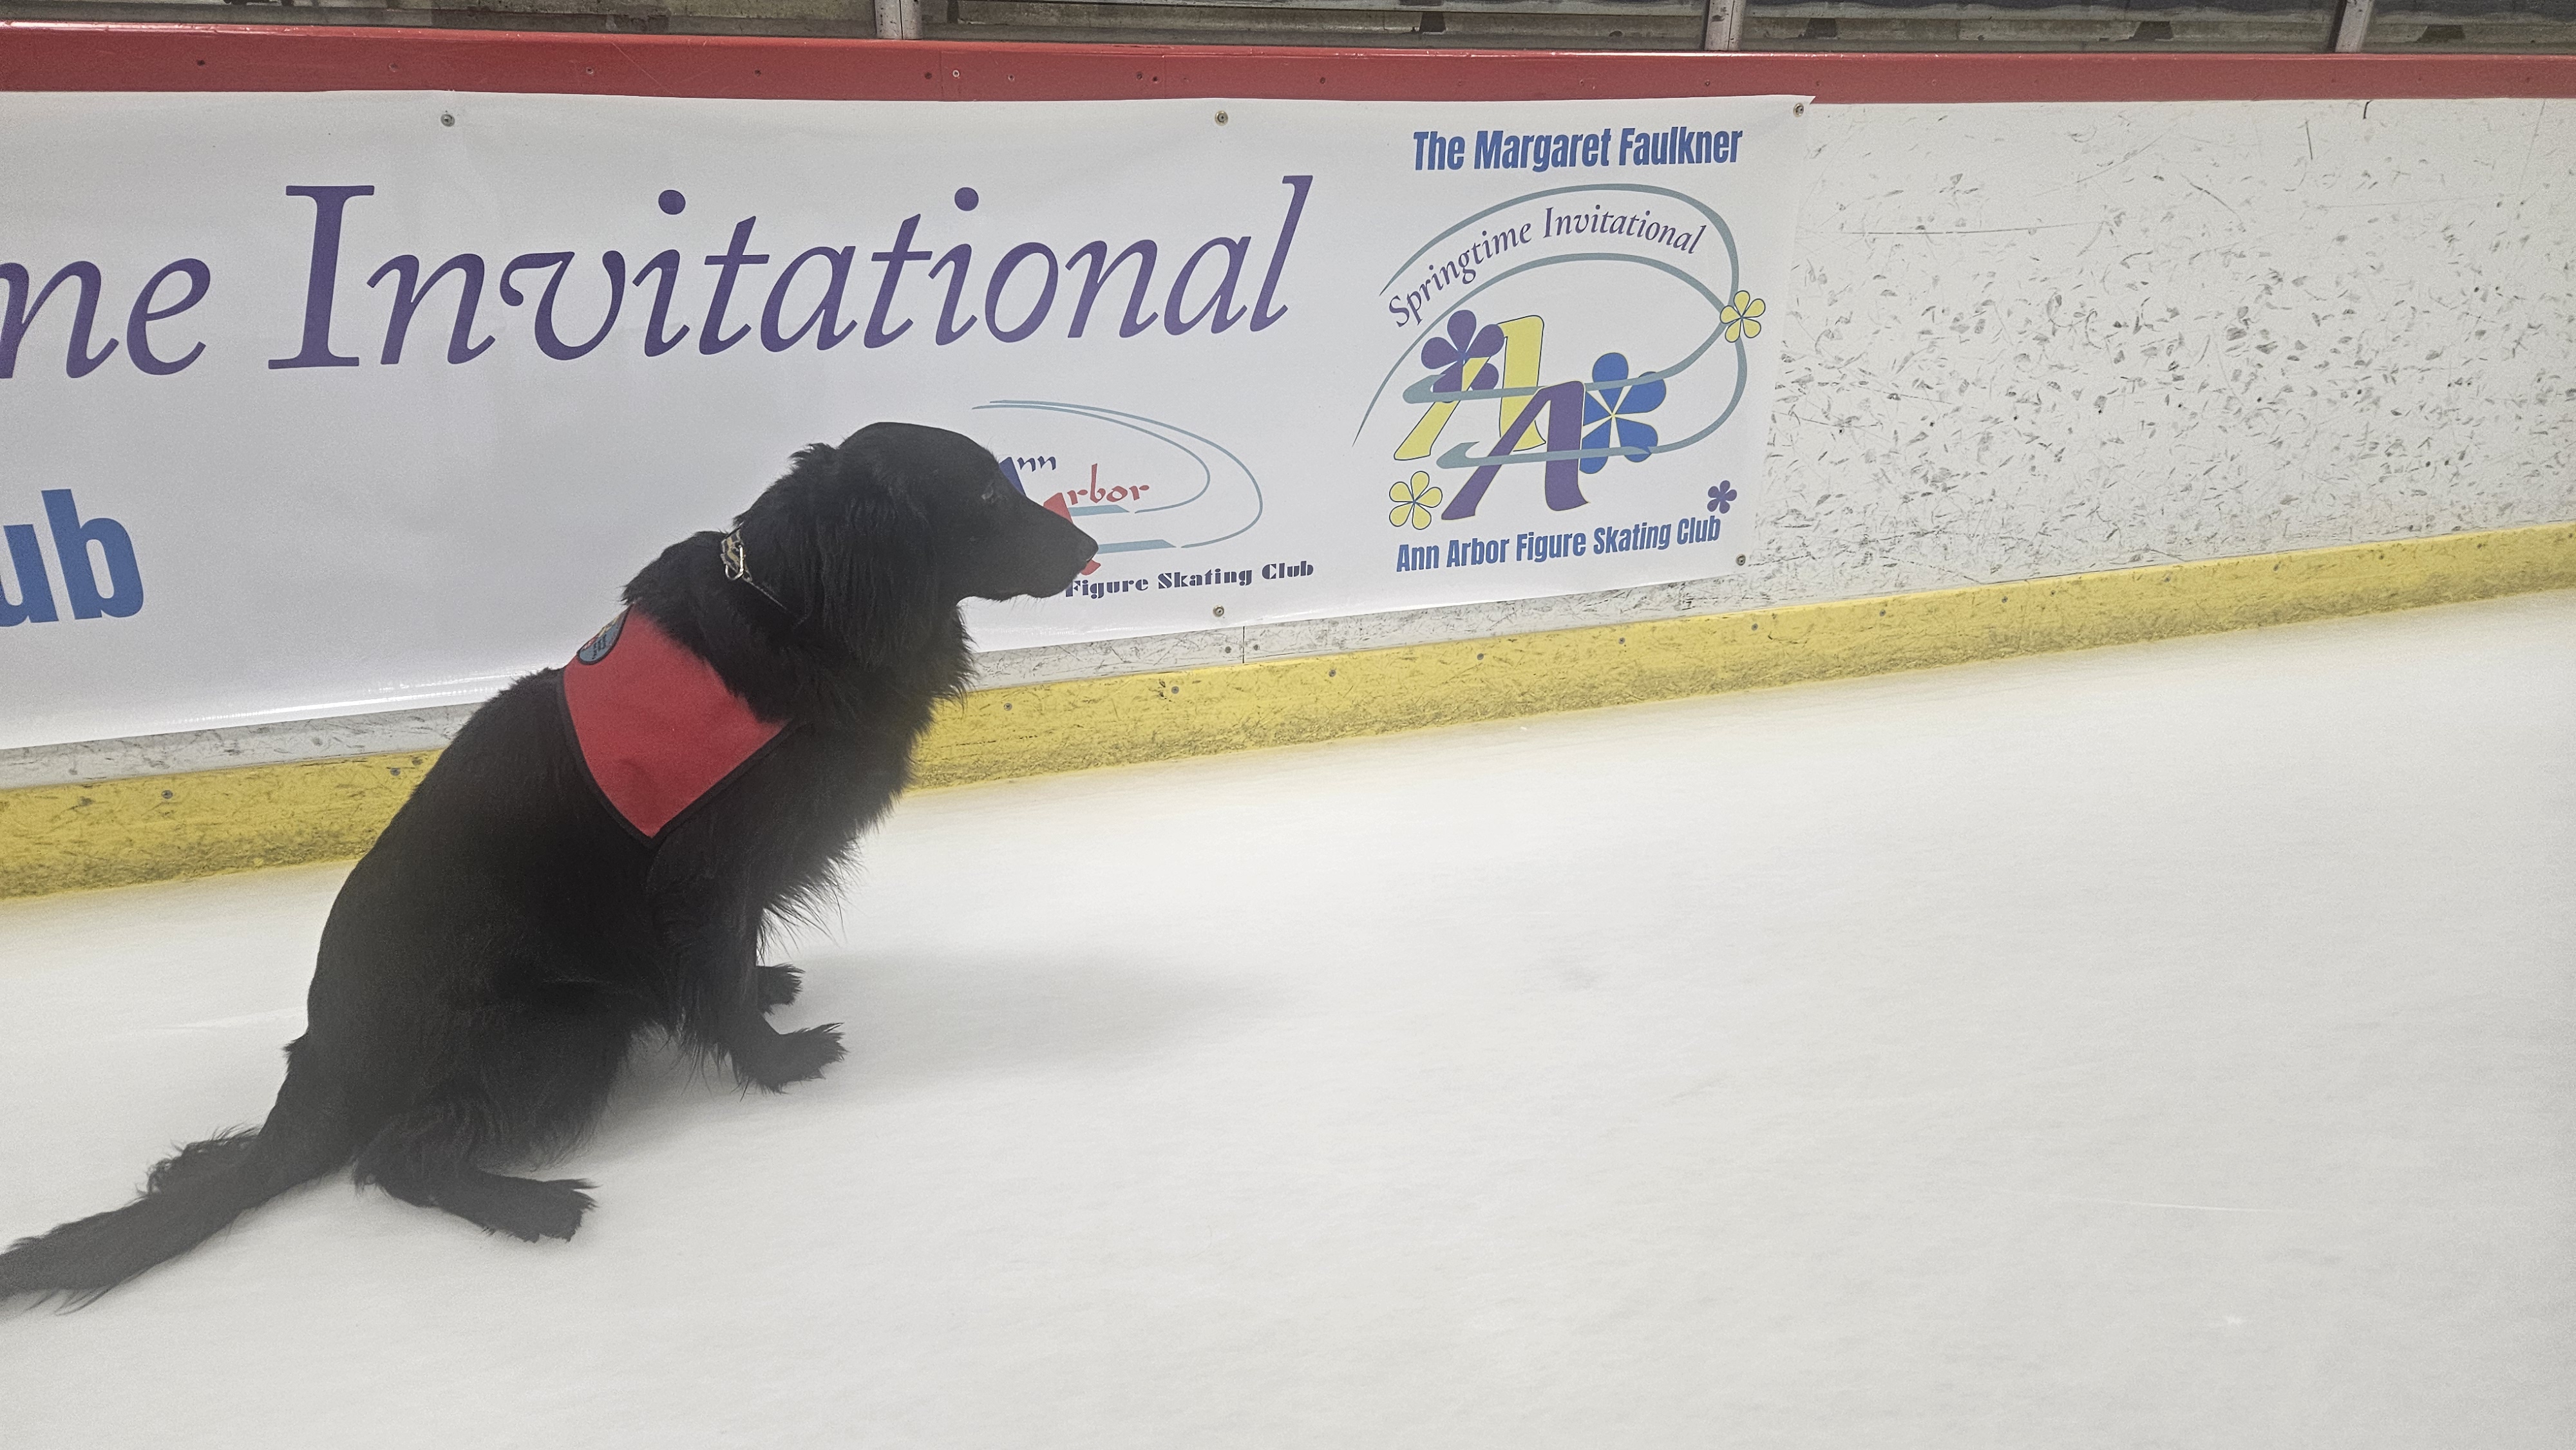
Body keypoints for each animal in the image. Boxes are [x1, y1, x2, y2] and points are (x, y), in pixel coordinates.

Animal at [0, 422, 1096, 1306]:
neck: (796, 606)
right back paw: (529, 1207)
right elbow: (718, 986)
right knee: (394, 1159)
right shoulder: (701, 882)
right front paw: (775, 1061)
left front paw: (764, 992)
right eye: (984, 496)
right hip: (569, 1025)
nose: (1090, 545)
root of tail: (326, 1058)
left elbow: (729, 969)